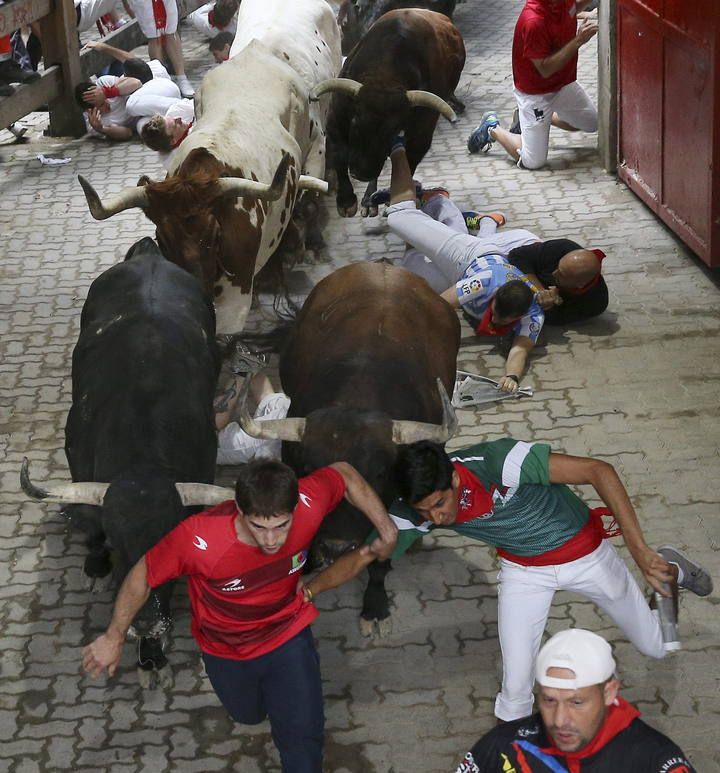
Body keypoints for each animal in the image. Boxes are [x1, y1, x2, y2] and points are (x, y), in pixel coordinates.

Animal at [22, 240, 225, 680]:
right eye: (117, 544)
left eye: (171, 549)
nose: (146, 622)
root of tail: (148, 255)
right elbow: (93, 526)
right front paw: (97, 568)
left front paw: (152, 656)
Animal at [312, 9, 464, 219]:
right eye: (355, 122)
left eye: (394, 130)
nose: (362, 172)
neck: (384, 76)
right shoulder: (336, 121)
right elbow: (339, 156)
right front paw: (346, 201)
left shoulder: (421, 133)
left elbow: (409, 161)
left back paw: (370, 200)